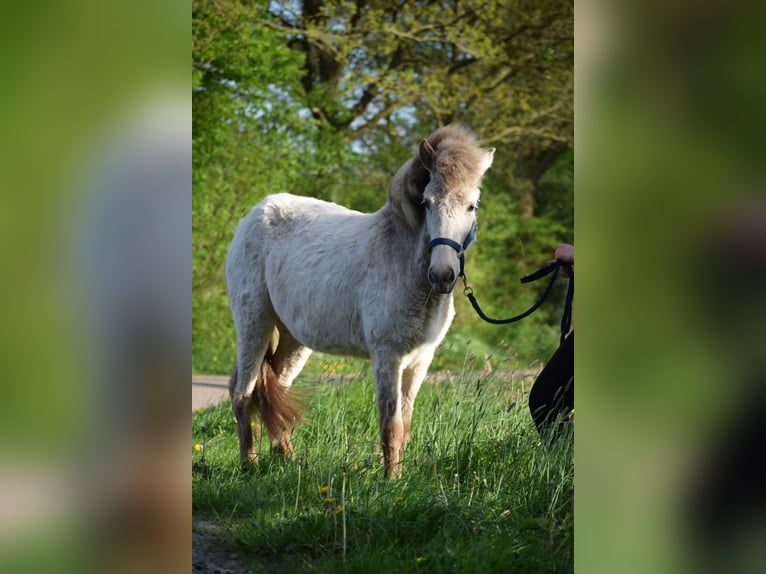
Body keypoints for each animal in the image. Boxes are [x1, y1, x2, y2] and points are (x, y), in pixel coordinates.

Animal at [225, 126, 496, 482]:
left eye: (471, 206)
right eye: (427, 203)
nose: (442, 275)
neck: (402, 261)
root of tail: (255, 213)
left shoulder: (420, 360)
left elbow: (405, 424)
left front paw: (398, 477)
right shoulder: (387, 356)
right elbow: (390, 424)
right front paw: (390, 482)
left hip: (293, 338)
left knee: (275, 388)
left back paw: (290, 465)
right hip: (254, 323)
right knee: (244, 392)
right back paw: (249, 466)